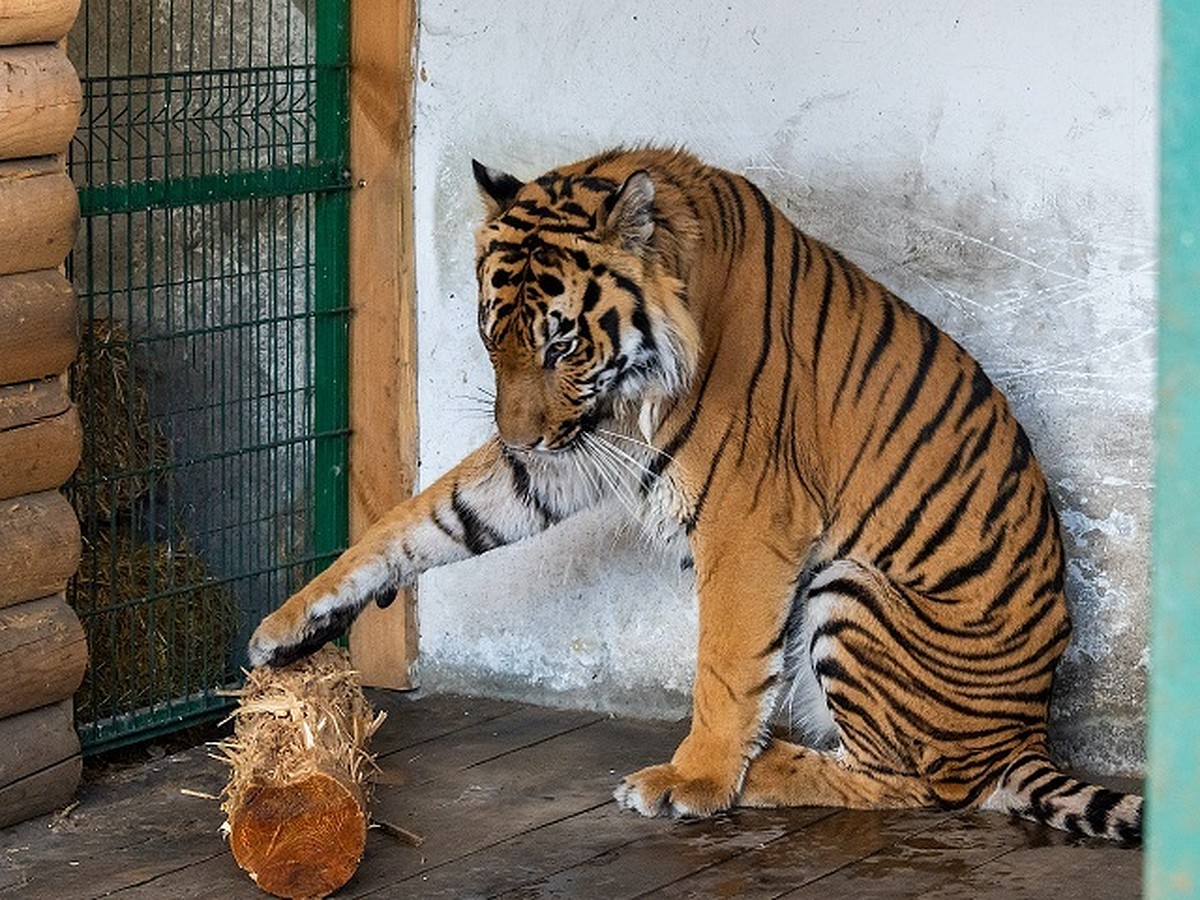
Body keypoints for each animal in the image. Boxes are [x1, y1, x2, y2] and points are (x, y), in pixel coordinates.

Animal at [250, 146, 1142, 844]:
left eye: (562, 344)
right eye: (490, 334)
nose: (518, 439)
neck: (631, 384)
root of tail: (1026, 732)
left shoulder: (748, 517)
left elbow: (724, 661)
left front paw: (695, 781)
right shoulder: (575, 450)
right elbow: (428, 517)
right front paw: (296, 621)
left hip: (854, 587)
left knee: (921, 784)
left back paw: (765, 764)